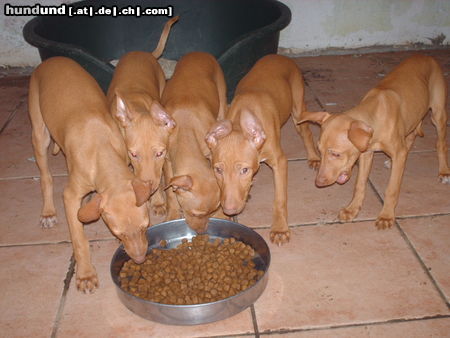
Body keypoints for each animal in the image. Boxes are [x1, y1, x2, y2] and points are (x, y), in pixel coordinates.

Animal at [28, 56, 151, 292]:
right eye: (118, 233)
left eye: (145, 227)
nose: (140, 260)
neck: (100, 147)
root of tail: (51, 59)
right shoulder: (70, 196)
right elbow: (79, 239)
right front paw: (85, 274)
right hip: (39, 132)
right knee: (46, 176)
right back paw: (48, 212)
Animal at [107, 17, 179, 210]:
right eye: (134, 154)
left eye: (159, 154)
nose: (149, 189)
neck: (136, 105)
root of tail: (144, 52)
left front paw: (158, 201)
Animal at [160, 52, 227, 232]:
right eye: (196, 214)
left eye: (213, 211)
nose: (201, 232)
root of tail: (199, 52)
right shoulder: (167, 163)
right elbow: (170, 193)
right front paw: (172, 213)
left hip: (222, 100)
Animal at [206, 55, 322, 246]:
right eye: (218, 170)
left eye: (244, 170)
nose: (229, 210)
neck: (240, 123)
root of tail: (280, 56)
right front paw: (221, 217)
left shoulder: (280, 162)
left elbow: (280, 199)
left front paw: (280, 229)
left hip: (298, 107)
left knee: (305, 131)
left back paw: (313, 157)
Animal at [298, 54, 450, 230]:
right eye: (319, 152)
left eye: (336, 154)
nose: (318, 182)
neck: (375, 115)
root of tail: (425, 56)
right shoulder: (366, 154)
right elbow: (359, 184)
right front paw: (352, 209)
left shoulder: (396, 153)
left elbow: (392, 188)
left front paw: (386, 216)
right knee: (410, 137)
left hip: (438, 114)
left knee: (440, 143)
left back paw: (444, 171)